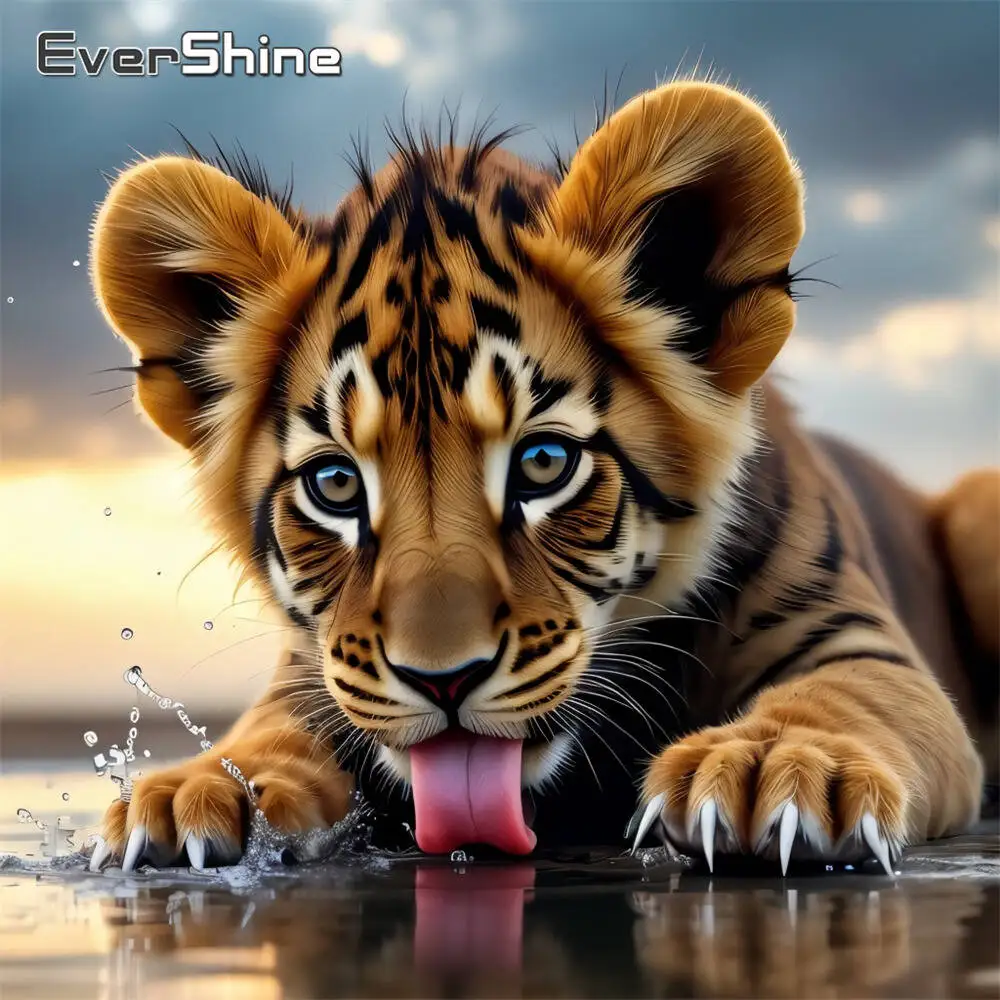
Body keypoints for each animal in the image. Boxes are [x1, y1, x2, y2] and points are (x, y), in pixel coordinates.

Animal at [86, 79, 998, 875]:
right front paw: (197, 791)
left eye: (543, 463)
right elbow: (270, 733)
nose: (443, 679)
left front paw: (767, 764)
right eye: (336, 485)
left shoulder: (857, 643)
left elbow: (845, 700)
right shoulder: (314, 673)